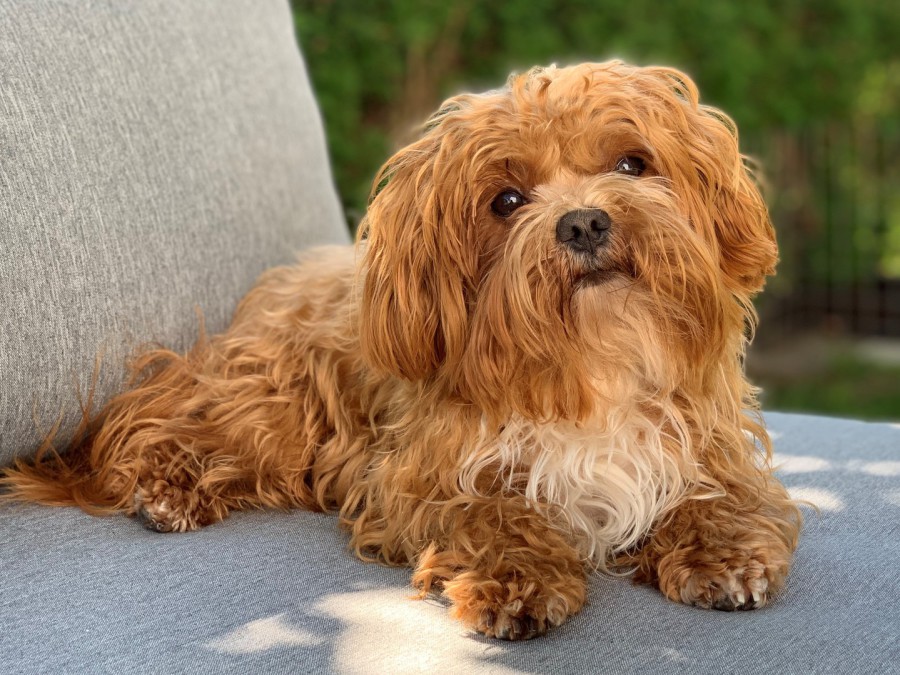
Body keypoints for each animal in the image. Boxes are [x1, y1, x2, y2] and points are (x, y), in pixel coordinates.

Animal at [2, 61, 801, 640]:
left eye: (632, 164)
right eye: (506, 201)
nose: (582, 223)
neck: (591, 365)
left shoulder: (707, 444)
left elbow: (717, 496)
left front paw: (724, 552)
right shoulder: (421, 476)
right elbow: (493, 514)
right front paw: (514, 580)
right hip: (276, 403)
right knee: (175, 430)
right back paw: (168, 489)